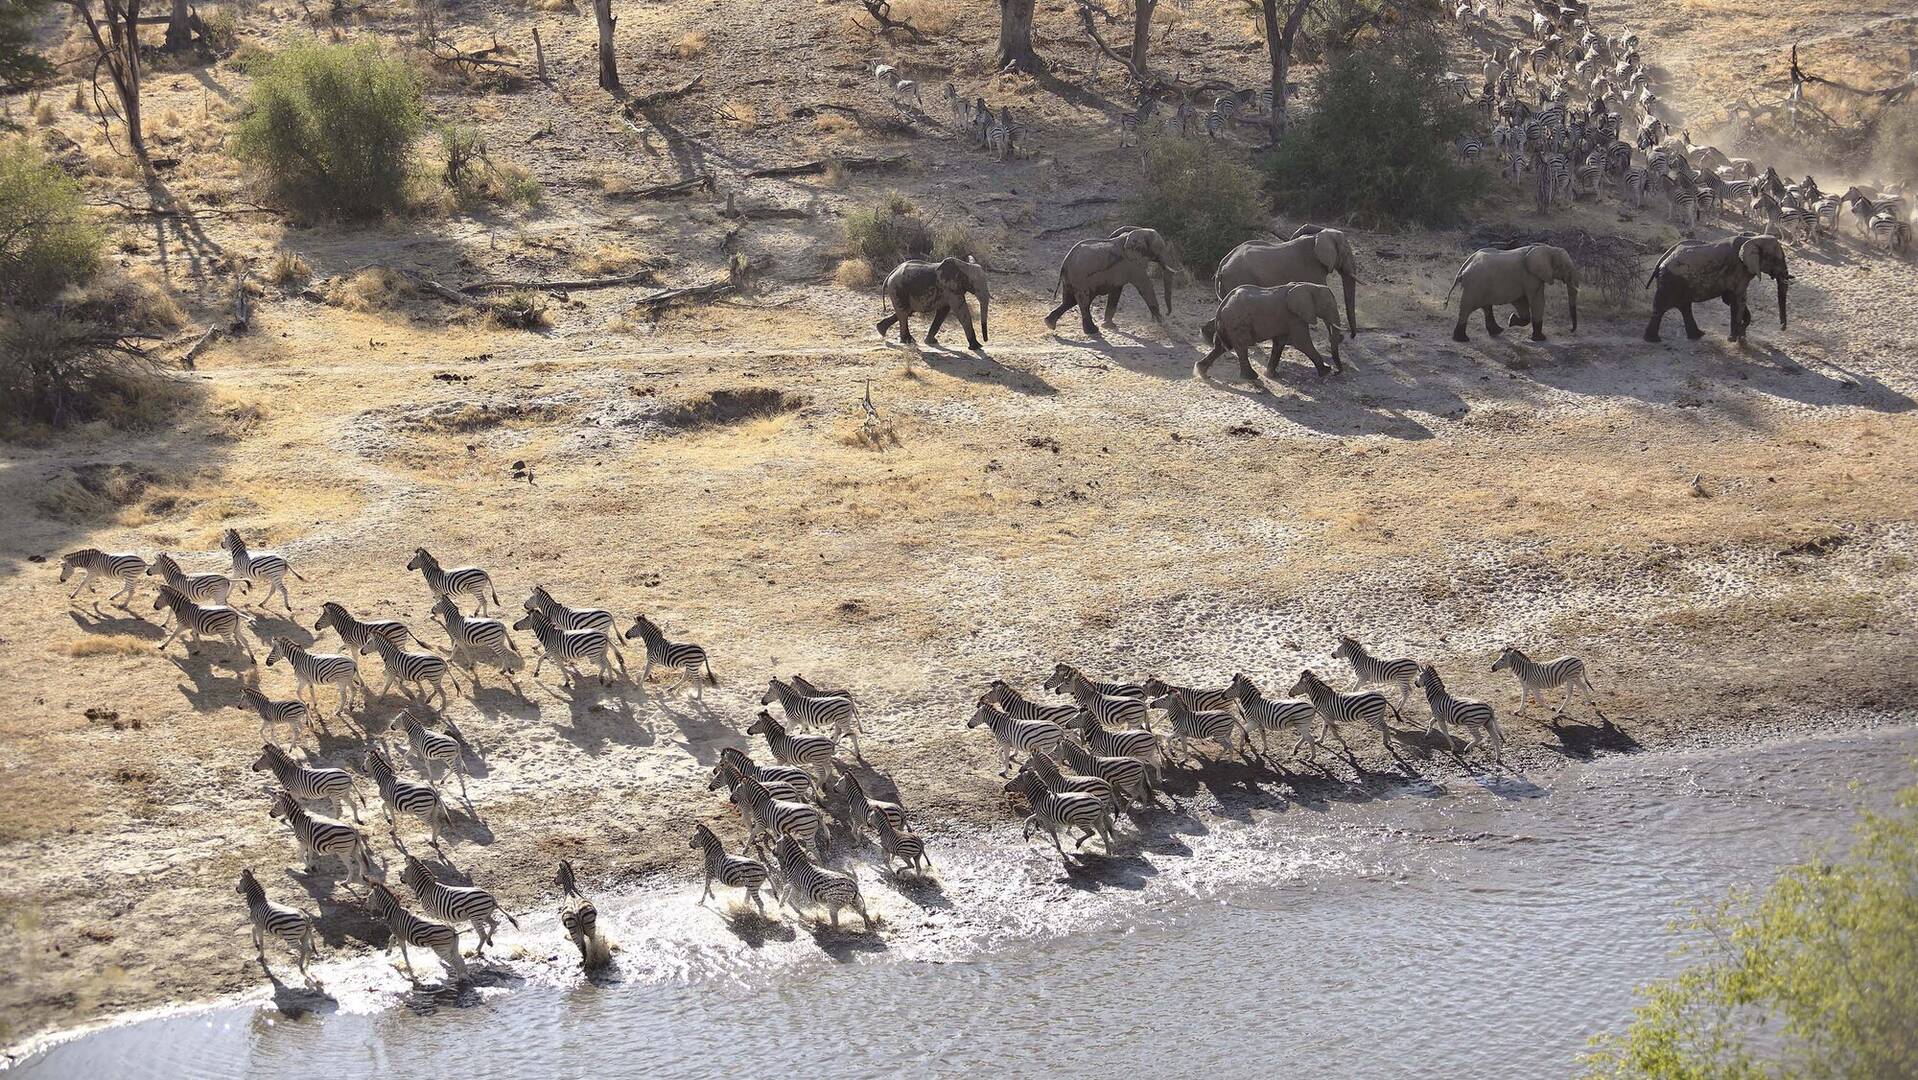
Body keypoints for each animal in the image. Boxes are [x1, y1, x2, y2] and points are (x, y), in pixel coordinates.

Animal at [1043, 229, 1173, 341]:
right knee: (1083, 302)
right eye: (1160, 248)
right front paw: (1162, 322)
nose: (1167, 314)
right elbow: (1145, 286)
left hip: (1071, 280)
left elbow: (1116, 291)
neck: (1138, 232)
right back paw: (1092, 331)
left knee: (1069, 301)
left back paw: (1049, 323)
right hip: (1081, 279)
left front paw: (1109, 326)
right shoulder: (1133, 264)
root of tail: (1064, 263)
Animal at [1189, 281, 1342, 381]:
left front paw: (1272, 375)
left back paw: (1202, 372)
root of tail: (1221, 305)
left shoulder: (1288, 318)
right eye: (1328, 306)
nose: (1336, 372)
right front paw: (1326, 371)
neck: (1309, 286)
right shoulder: (1294, 317)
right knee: (1241, 346)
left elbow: (1280, 342)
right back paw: (1251, 377)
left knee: (1221, 347)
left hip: (1229, 324)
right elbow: (1302, 342)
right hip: (1237, 322)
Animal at [1204, 227, 1357, 341]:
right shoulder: (1313, 271)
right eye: (1347, 253)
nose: (1351, 335)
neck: (1318, 237)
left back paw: (1208, 336)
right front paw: (1338, 339)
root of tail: (1221, 266)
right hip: (1239, 277)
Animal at [1442, 243, 1580, 341]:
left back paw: (1497, 331)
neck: (1548, 249)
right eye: (1566, 268)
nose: (1571, 330)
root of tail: (1465, 265)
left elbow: (1521, 302)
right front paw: (1540, 339)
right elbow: (1537, 300)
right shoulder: (1531, 276)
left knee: (1486, 307)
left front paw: (1511, 320)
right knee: (1466, 308)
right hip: (1475, 285)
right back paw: (1462, 339)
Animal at [1641, 234, 1787, 345]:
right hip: (1671, 280)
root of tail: (1662, 258)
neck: (1753, 238)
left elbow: (1731, 299)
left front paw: (1740, 337)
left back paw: (1697, 335)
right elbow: (1738, 299)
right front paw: (1734, 339)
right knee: (1661, 307)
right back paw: (1653, 340)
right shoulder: (1739, 270)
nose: (1782, 328)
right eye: (1777, 260)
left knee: (1684, 306)